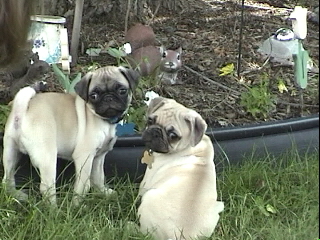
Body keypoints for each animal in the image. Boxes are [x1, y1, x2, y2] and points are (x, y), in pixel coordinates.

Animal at [1, 66, 140, 205]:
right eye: (93, 96)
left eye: (122, 90)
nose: (108, 98)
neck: (105, 120)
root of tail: (22, 110)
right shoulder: (84, 156)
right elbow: (83, 185)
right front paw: (77, 205)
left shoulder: (99, 157)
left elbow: (98, 177)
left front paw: (103, 193)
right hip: (47, 157)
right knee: (46, 188)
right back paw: (54, 209)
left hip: (10, 151)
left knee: (7, 179)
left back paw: (17, 195)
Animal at [138, 97, 225, 240]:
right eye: (150, 121)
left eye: (173, 136)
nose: (155, 131)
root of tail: (180, 236)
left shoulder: (146, 182)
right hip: (219, 206)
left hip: (148, 198)